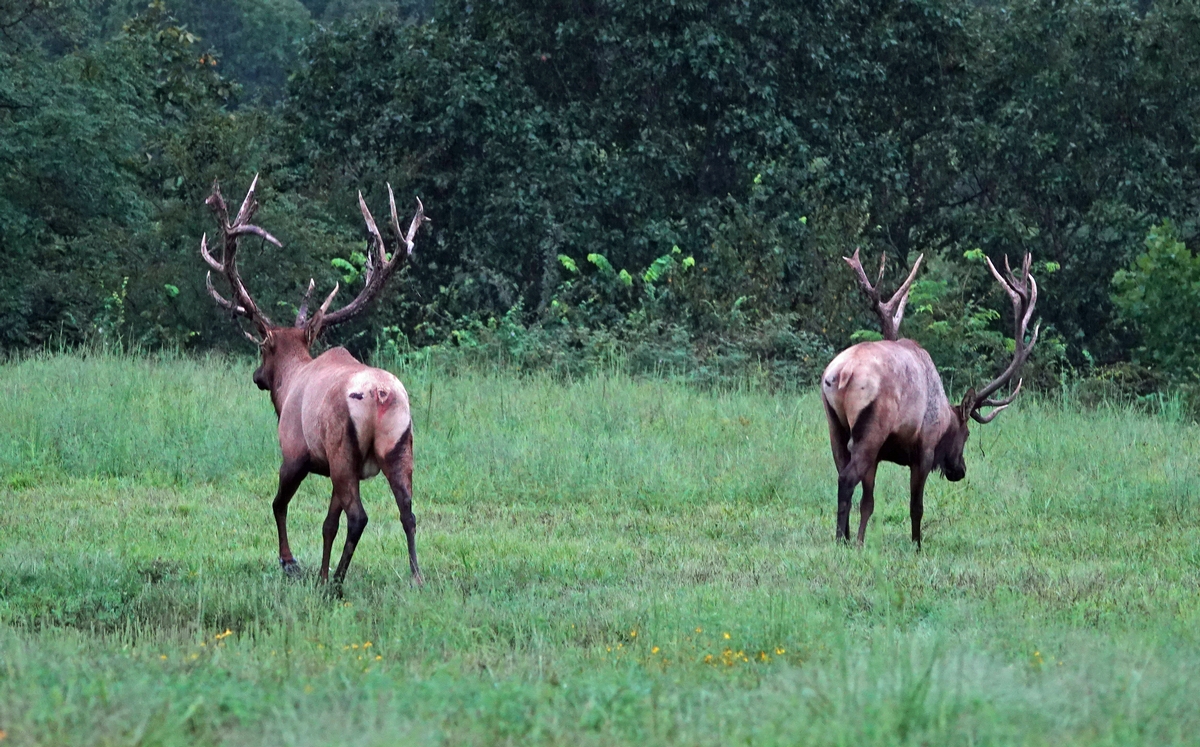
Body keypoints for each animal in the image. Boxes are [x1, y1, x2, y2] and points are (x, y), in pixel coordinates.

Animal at [200, 175, 429, 588]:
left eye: (263, 350)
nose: (257, 377)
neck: (289, 385)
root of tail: (379, 394)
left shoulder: (294, 452)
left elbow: (279, 504)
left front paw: (289, 561)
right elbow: (327, 524)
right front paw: (314, 569)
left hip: (341, 450)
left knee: (359, 517)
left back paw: (335, 583)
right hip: (399, 446)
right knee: (407, 512)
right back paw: (414, 577)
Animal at [820, 249, 1039, 548]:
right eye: (967, 434)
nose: (960, 470)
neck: (944, 416)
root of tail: (842, 373)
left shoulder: (879, 456)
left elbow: (869, 502)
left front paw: (862, 540)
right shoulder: (923, 449)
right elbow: (916, 506)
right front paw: (916, 545)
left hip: (835, 425)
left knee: (842, 472)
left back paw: (845, 538)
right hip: (871, 428)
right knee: (846, 478)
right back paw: (840, 540)